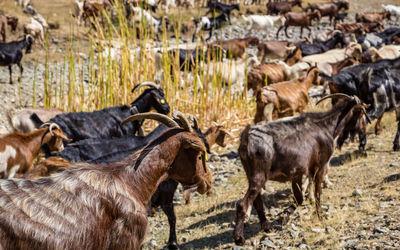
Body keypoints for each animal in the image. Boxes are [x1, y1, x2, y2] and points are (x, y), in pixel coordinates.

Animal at [234, 93, 372, 244]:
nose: (364, 129)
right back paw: (239, 238)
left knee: (257, 202)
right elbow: (317, 193)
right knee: (242, 204)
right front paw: (320, 215)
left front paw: (284, 216)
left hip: (251, 175)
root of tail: (247, 141)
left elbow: (299, 198)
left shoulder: (297, 173)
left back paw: (267, 227)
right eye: (362, 113)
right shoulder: (319, 167)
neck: (326, 126)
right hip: (259, 175)